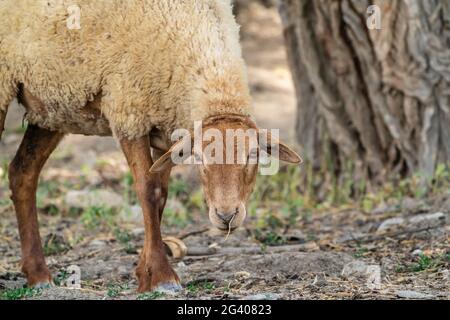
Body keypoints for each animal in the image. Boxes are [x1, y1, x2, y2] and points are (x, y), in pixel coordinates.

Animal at [0, 0, 302, 294]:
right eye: (199, 160)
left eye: (254, 155)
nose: (226, 216)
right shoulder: (128, 111)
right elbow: (148, 192)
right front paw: (160, 276)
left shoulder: (168, 129)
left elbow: (162, 195)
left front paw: (143, 272)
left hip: (51, 107)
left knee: (22, 173)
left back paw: (38, 274)